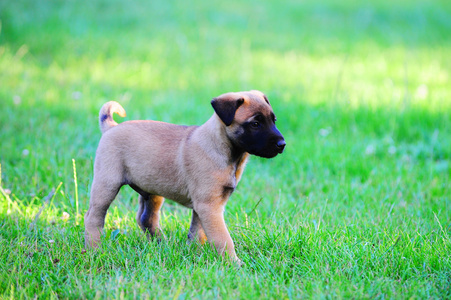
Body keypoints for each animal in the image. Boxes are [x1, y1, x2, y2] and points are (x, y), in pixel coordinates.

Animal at [85, 89, 286, 262]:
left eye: (274, 120)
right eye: (255, 124)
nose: (282, 144)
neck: (223, 148)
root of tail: (112, 127)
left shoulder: (203, 207)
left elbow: (197, 233)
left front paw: (195, 254)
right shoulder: (210, 207)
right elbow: (223, 238)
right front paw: (234, 263)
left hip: (153, 190)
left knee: (146, 219)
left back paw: (162, 244)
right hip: (107, 184)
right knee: (93, 217)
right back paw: (95, 250)